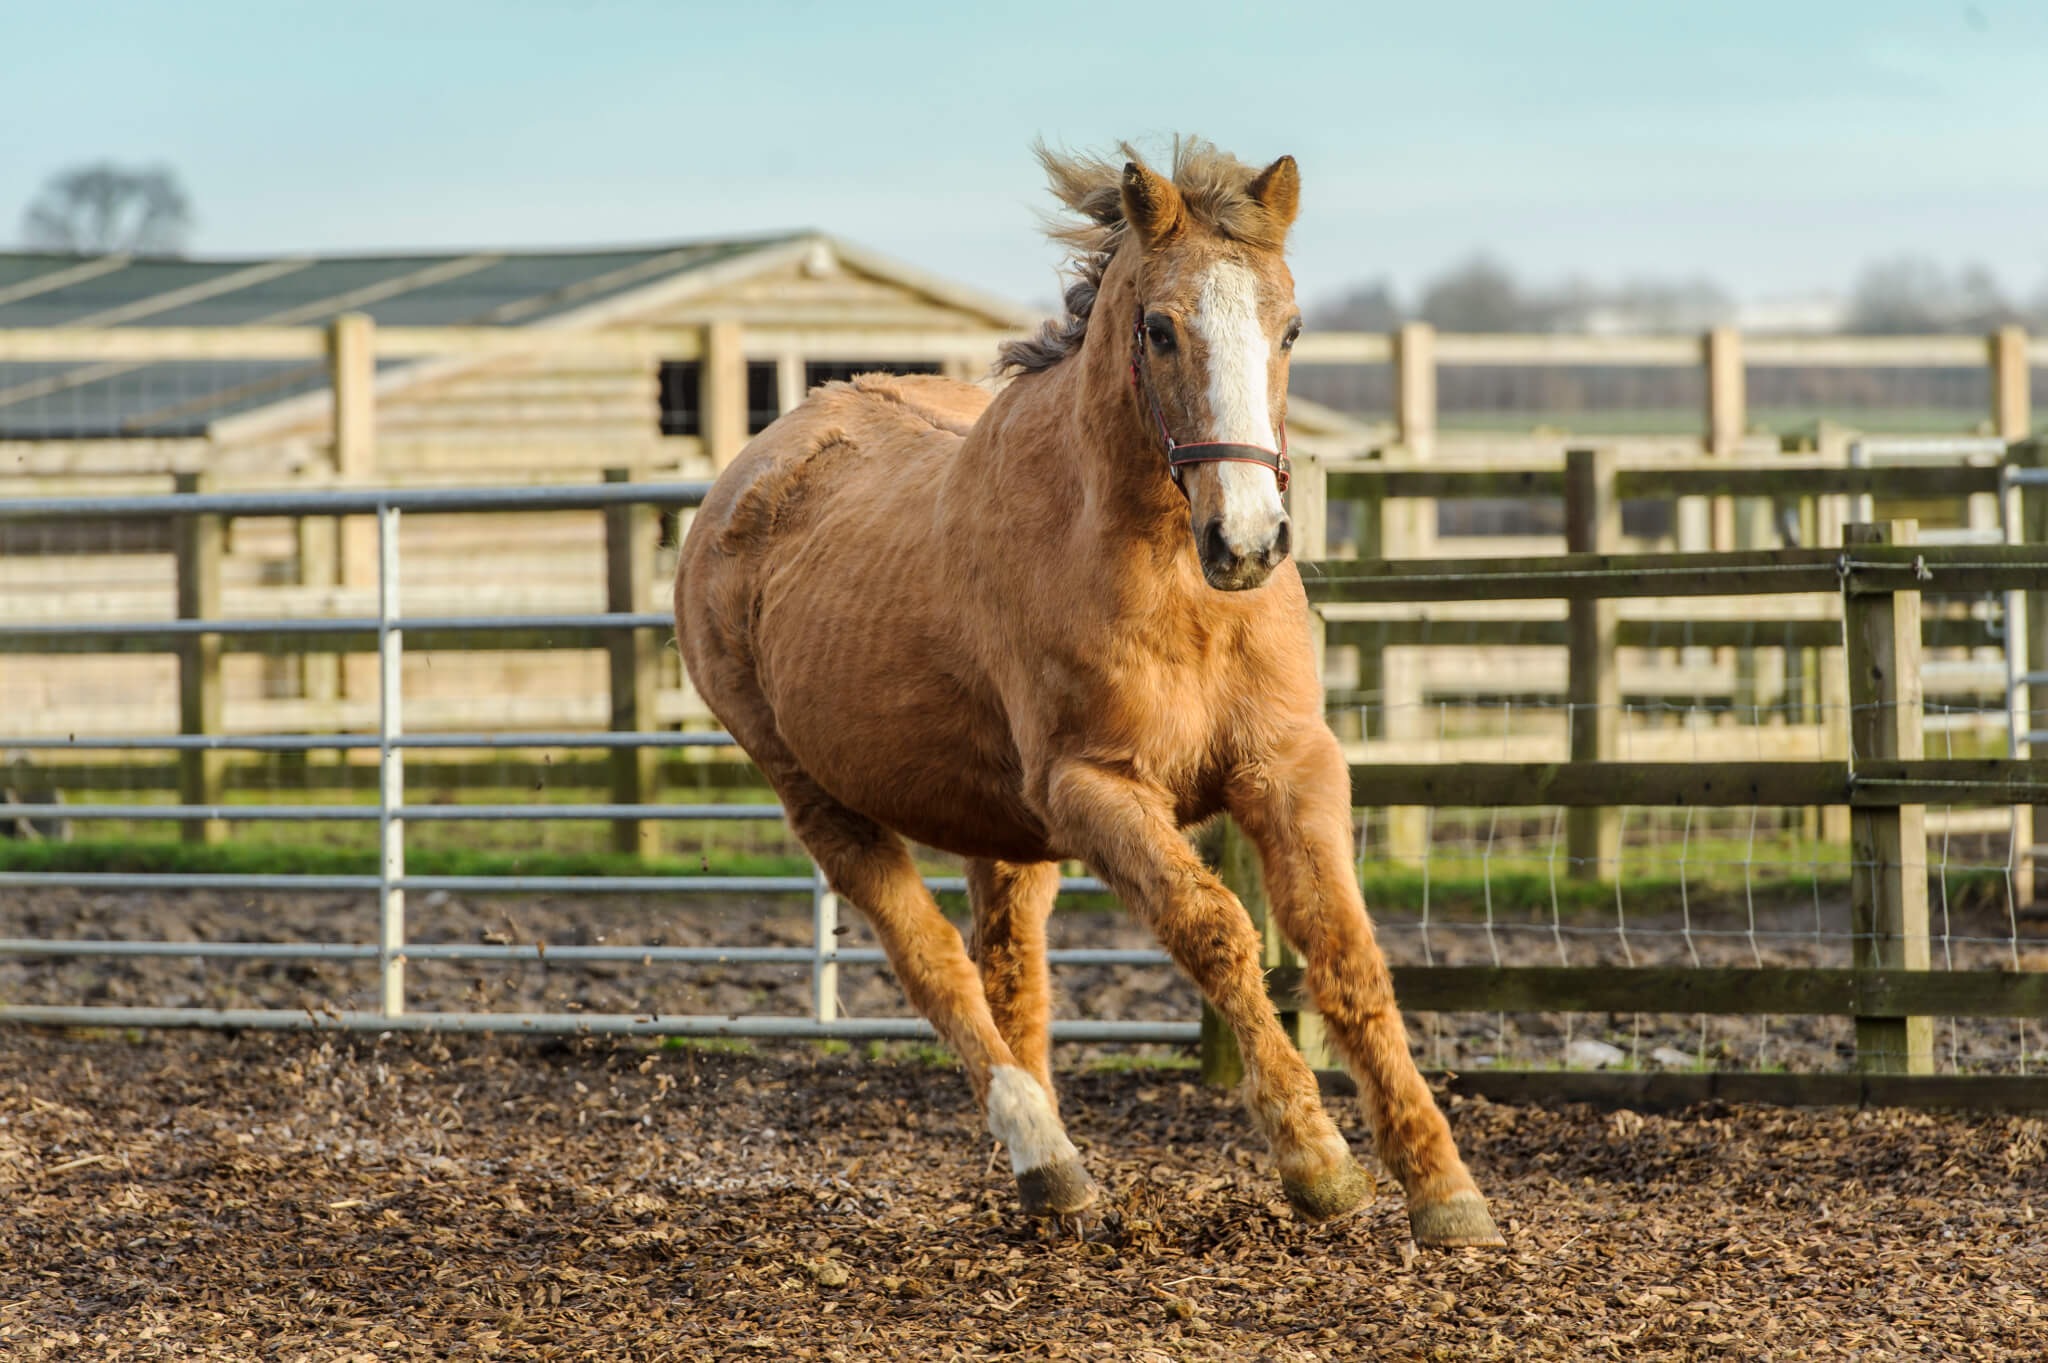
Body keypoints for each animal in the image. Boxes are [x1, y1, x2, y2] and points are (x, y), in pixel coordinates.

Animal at [679, 138, 1499, 1244]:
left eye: (1289, 326)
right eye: (1159, 328)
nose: (1248, 541)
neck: (1172, 583)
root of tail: (749, 474)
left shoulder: (1288, 765)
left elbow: (1344, 951)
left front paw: (1442, 1187)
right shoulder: (1097, 788)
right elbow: (1217, 934)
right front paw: (1317, 1161)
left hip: (1001, 831)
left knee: (1010, 972)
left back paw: (1049, 1182)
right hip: (820, 801)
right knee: (935, 964)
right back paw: (1046, 1153)